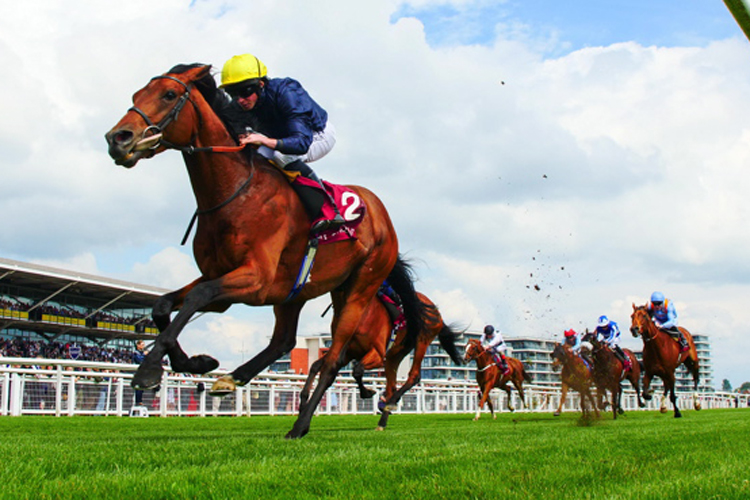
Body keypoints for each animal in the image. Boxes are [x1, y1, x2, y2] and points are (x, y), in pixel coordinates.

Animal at [106, 63, 426, 438]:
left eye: (169, 95)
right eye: (136, 95)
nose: (117, 138)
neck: (234, 193)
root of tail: (381, 214)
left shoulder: (255, 280)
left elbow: (198, 296)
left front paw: (148, 371)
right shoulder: (222, 278)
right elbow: (163, 305)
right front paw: (198, 362)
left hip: (360, 289)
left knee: (332, 360)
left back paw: (300, 425)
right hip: (298, 291)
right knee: (284, 341)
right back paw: (233, 378)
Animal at [300, 290, 464, 430]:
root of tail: (437, 313)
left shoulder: (377, 354)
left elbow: (357, 370)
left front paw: (367, 392)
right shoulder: (348, 352)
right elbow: (316, 365)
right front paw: (303, 403)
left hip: (422, 340)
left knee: (414, 376)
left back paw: (390, 403)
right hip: (396, 353)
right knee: (392, 386)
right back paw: (382, 420)